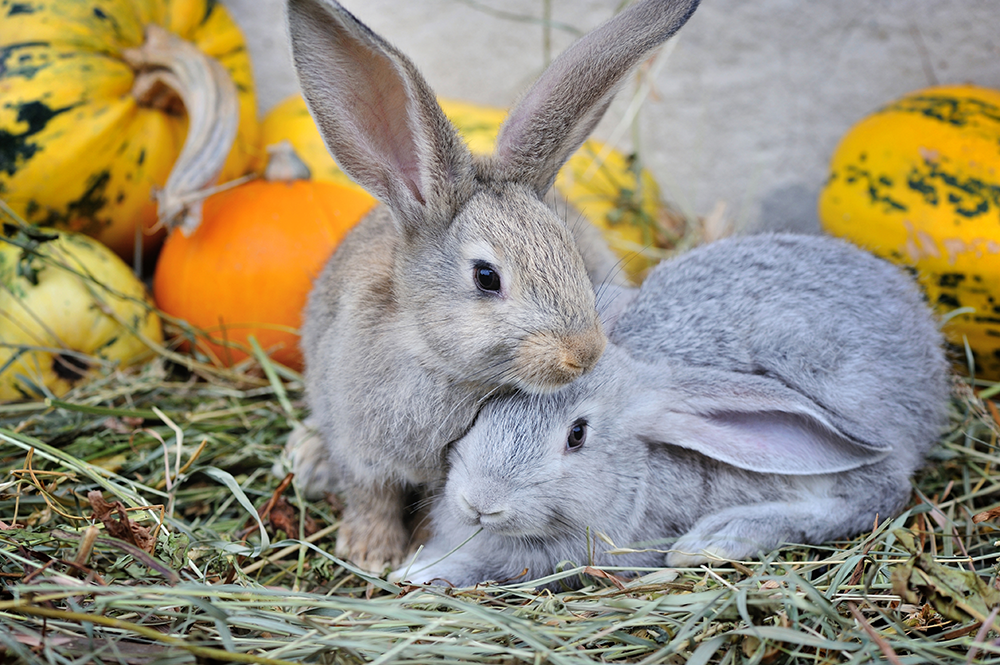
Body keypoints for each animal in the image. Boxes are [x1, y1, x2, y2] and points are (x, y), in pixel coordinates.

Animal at [283, 0, 702, 571]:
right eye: (487, 277)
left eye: (569, 253)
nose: (584, 354)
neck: (433, 360)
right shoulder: (360, 447)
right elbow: (371, 496)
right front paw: (371, 553)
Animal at [393, 233, 950, 587]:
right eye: (485, 407)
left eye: (577, 435)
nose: (480, 503)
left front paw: (417, 572)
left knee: (876, 495)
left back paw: (715, 540)